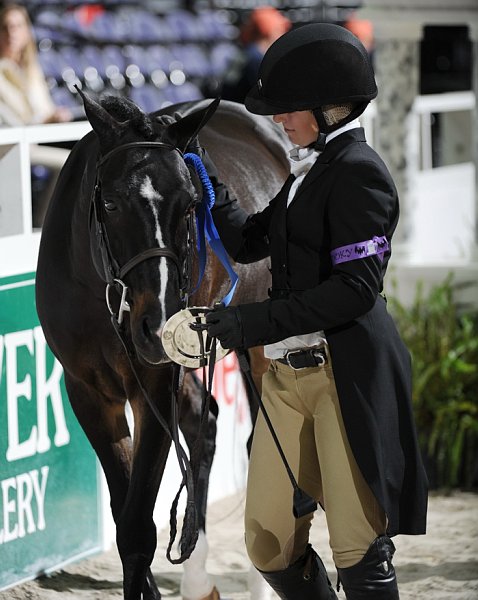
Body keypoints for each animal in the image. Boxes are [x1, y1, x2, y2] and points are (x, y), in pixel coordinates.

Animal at [35, 92, 290, 600]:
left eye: (192, 203)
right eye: (109, 203)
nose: (158, 324)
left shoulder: (151, 384)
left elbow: (137, 526)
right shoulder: (88, 393)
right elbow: (124, 508)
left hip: (257, 345)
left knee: (259, 440)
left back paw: (260, 577)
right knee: (202, 424)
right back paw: (197, 576)